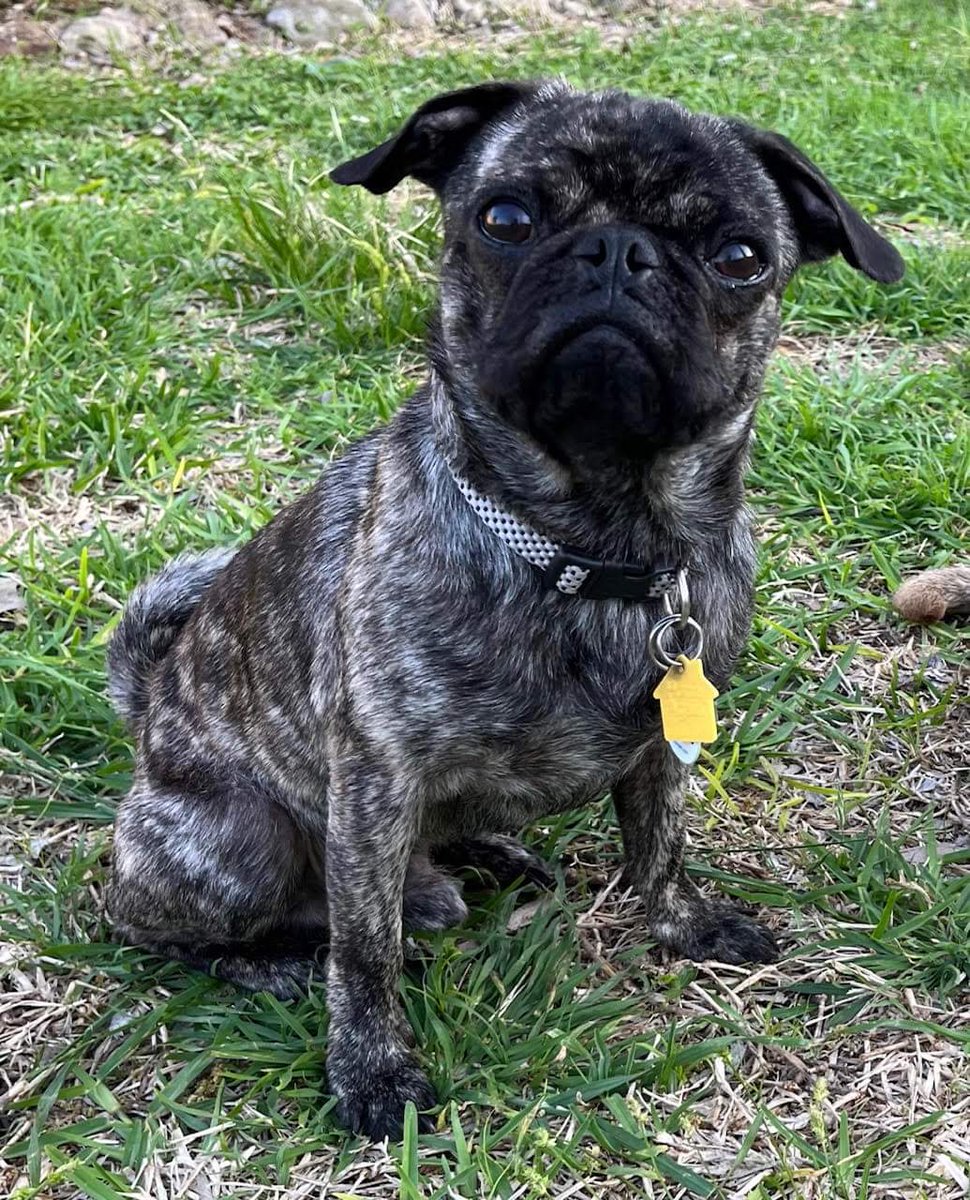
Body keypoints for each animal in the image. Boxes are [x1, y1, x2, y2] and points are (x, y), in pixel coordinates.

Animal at [102, 82, 907, 1132]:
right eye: (506, 220)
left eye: (740, 257)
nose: (617, 251)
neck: (599, 550)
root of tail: (149, 706)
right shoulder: (375, 781)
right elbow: (364, 951)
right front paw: (372, 1071)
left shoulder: (665, 746)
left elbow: (661, 843)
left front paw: (684, 924)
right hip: (235, 845)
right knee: (167, 927)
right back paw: (283, 960)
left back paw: (484, 858)